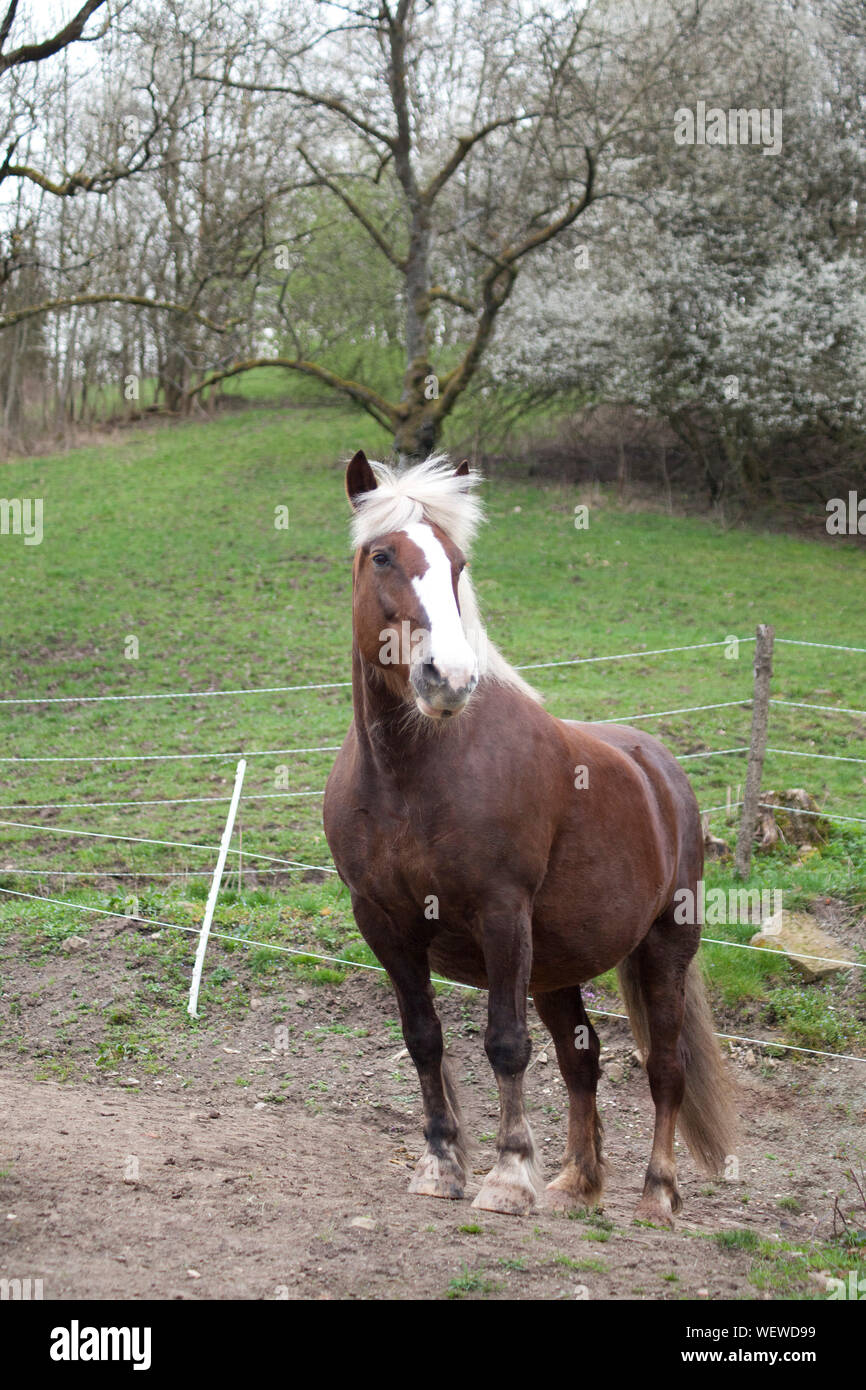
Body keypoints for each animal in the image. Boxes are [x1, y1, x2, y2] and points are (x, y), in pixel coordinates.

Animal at [323, 450, 737, 1223]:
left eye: (456, 564)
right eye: (382, 555)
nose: (448, 678)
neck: (412, 772)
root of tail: (661, 770)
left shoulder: (501, 915)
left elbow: (506, 1046)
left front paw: (508, 1175)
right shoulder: (384, 922)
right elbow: (424, 1041)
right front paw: (441, 1164)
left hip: (664, 947)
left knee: (666, 1070)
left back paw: (656, 1194)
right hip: (557, 967)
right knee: (584, 1061)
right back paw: (577, 1183)